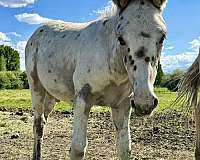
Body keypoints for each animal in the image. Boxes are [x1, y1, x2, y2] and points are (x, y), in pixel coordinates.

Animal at [25, 0, 168, 159]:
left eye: (162, 37)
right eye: (120, 39)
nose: (144, 103)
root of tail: (36, 33)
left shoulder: (123, 104)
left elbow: (124, 147)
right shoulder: (82, 98)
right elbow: (78, 148)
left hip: (50, 96)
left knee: (43, 122)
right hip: (36, 88)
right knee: (38, 125)